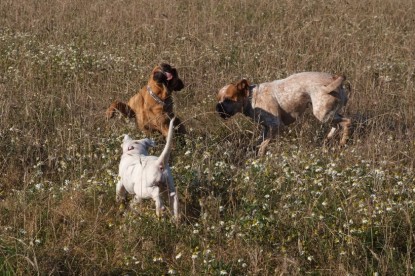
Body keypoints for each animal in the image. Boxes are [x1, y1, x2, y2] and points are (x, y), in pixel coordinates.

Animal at [216, 72, 352, 156]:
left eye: (228, 99)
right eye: (218, 98)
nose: (217, 107)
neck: (251, 97)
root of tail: (335, 80)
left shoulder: (276, 126)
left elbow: (263, 145)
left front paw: (260, 155)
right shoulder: (266, 128)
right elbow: (260, 141)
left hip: (322, 113)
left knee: (347, 121)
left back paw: (343, 142)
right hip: (328, 114)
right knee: (336, 125)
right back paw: (328, 138)